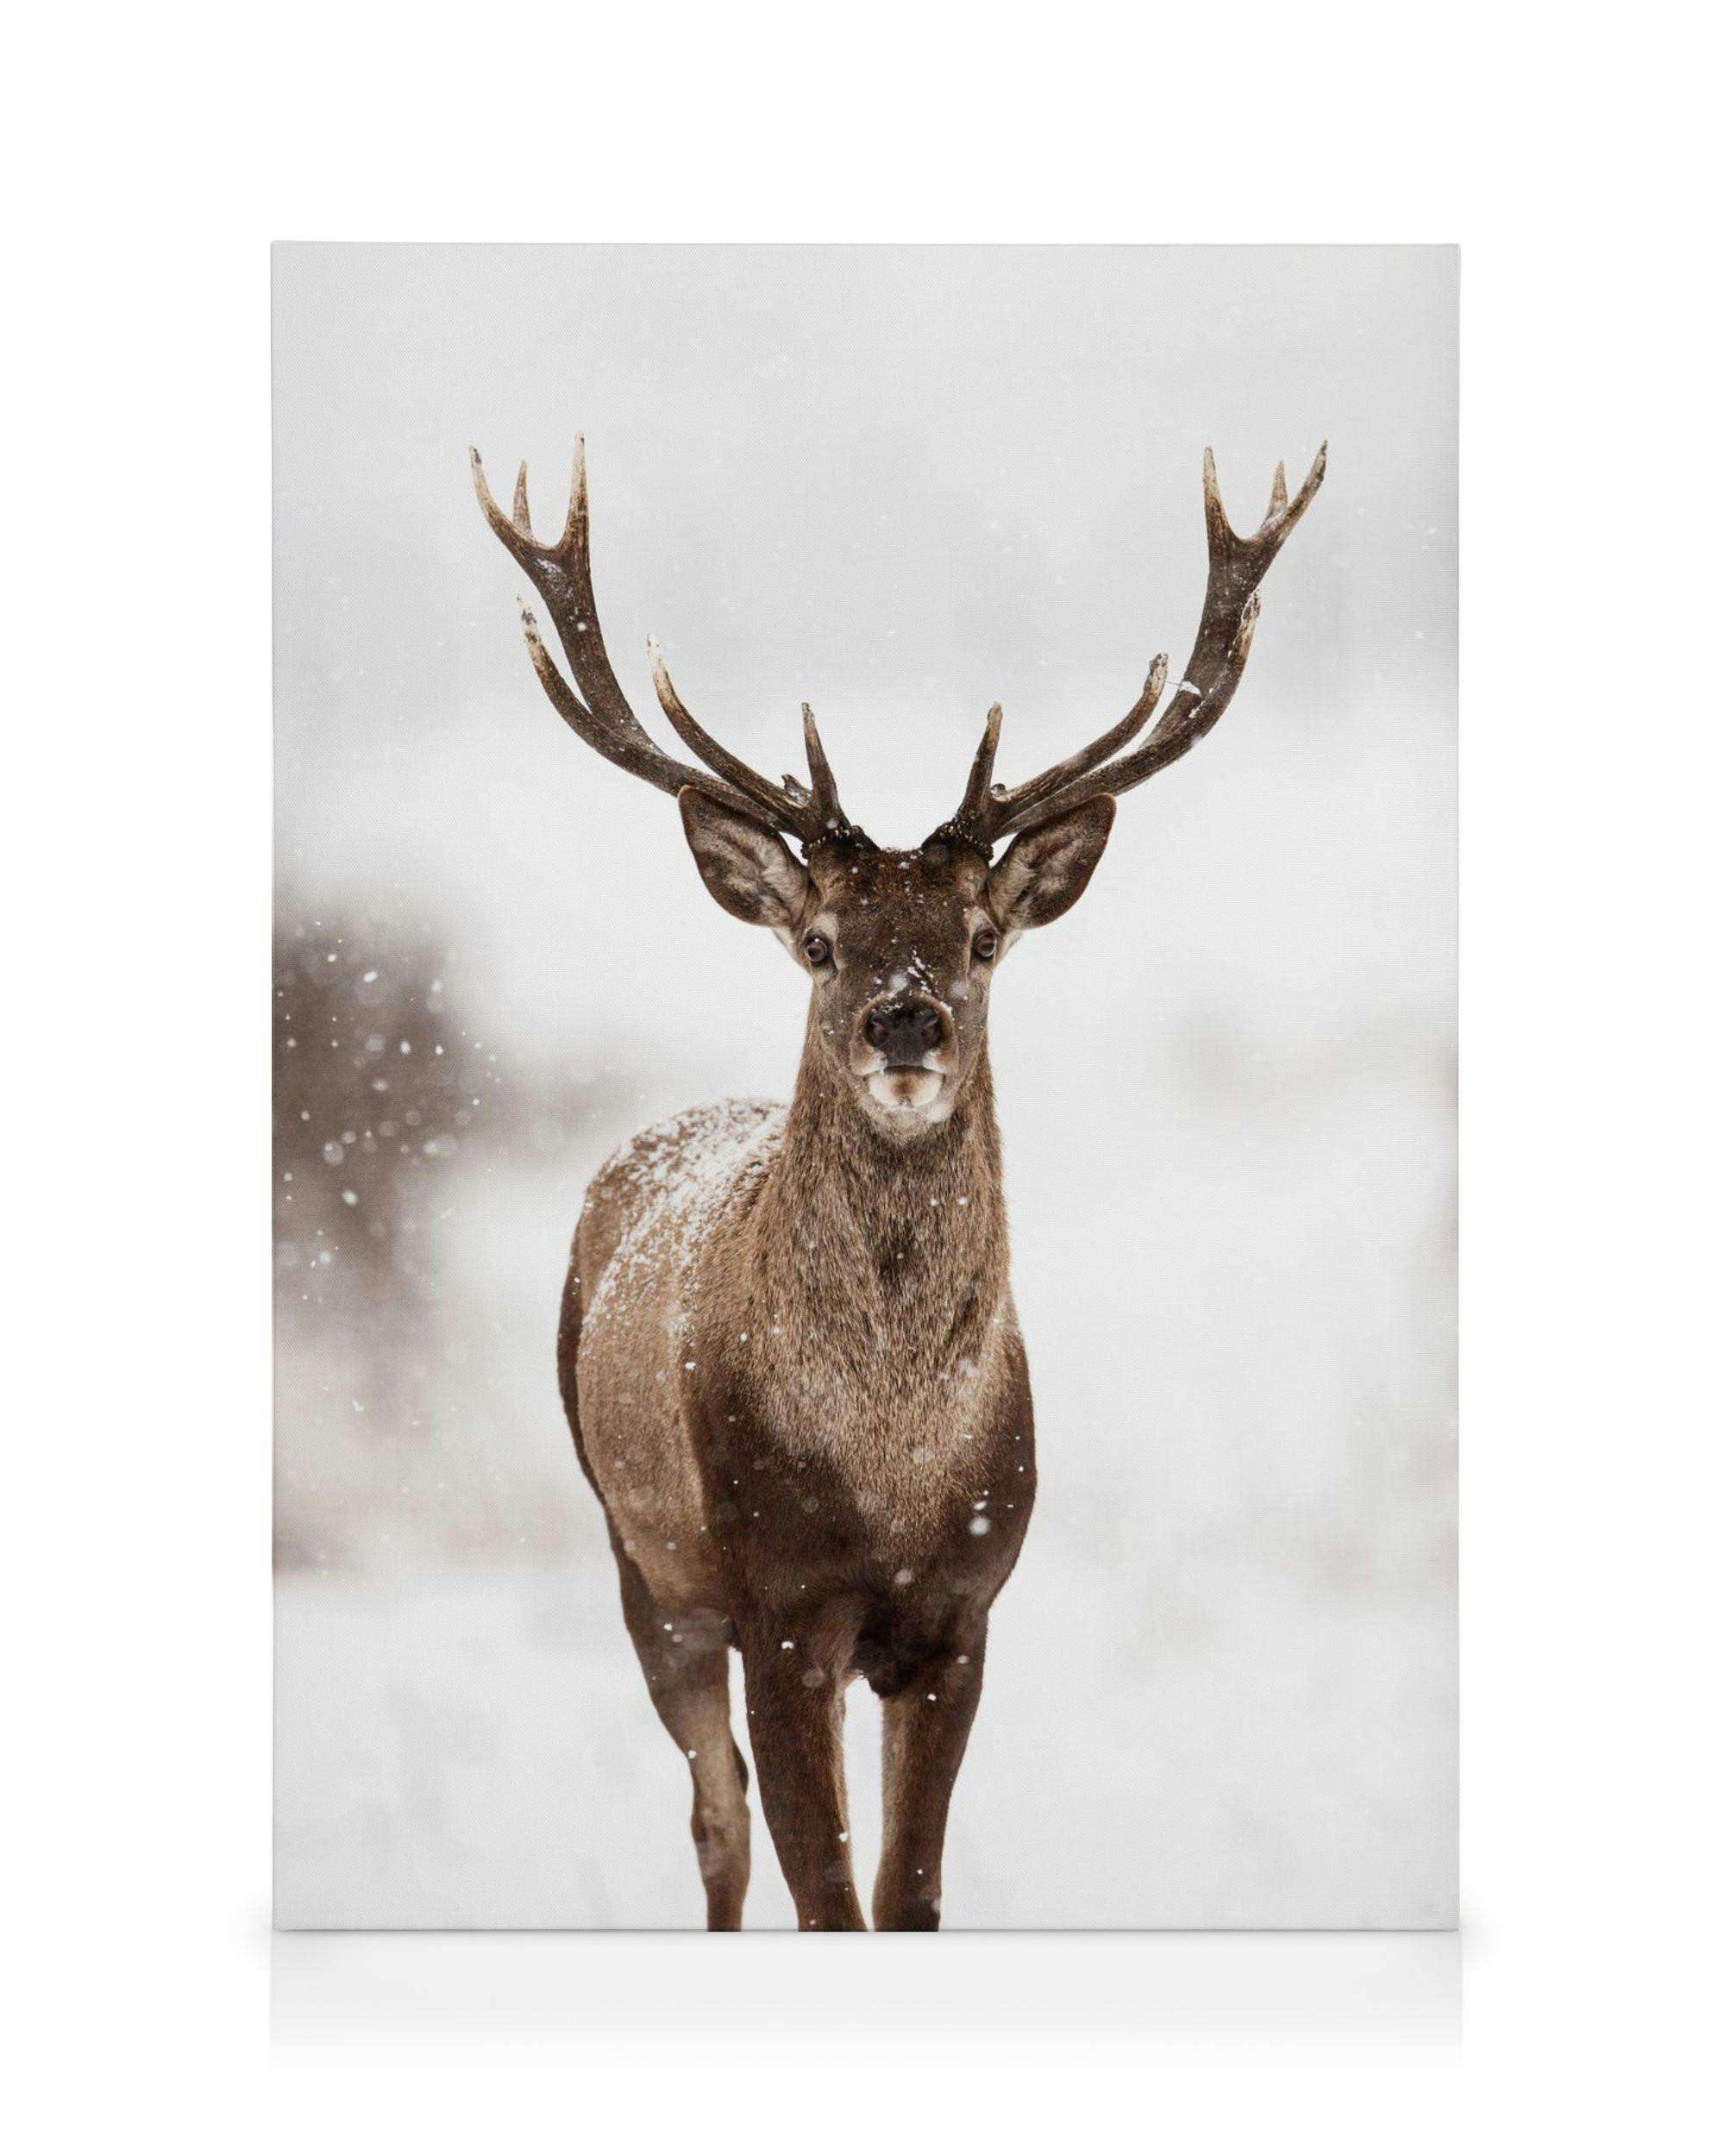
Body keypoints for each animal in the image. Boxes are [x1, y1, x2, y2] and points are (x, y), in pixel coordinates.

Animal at [471, 435, 1325, 1929]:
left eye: (981, 937)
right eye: (820, 940)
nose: (906, 1019)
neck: (890, 1470)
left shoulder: (962, 1611)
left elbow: (908, 1894)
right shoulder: (776, 1606)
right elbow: (827, 1896)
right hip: (641, 1559)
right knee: (714, 1823)